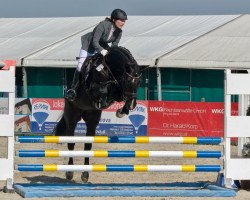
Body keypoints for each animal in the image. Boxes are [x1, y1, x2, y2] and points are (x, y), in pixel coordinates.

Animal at [54, 46, 145, 182]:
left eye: (139, 83)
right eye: (128, 81)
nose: (132, 105)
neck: (109, 69)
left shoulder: (118, 92)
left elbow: (118, 94)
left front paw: (121, 111)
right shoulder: (94, 89)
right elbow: (103, 89)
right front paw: (105, 101)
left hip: (92, 120)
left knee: (87, 146)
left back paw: (85, 174)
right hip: (72, 117)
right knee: (71, 143)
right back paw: (69, 172)